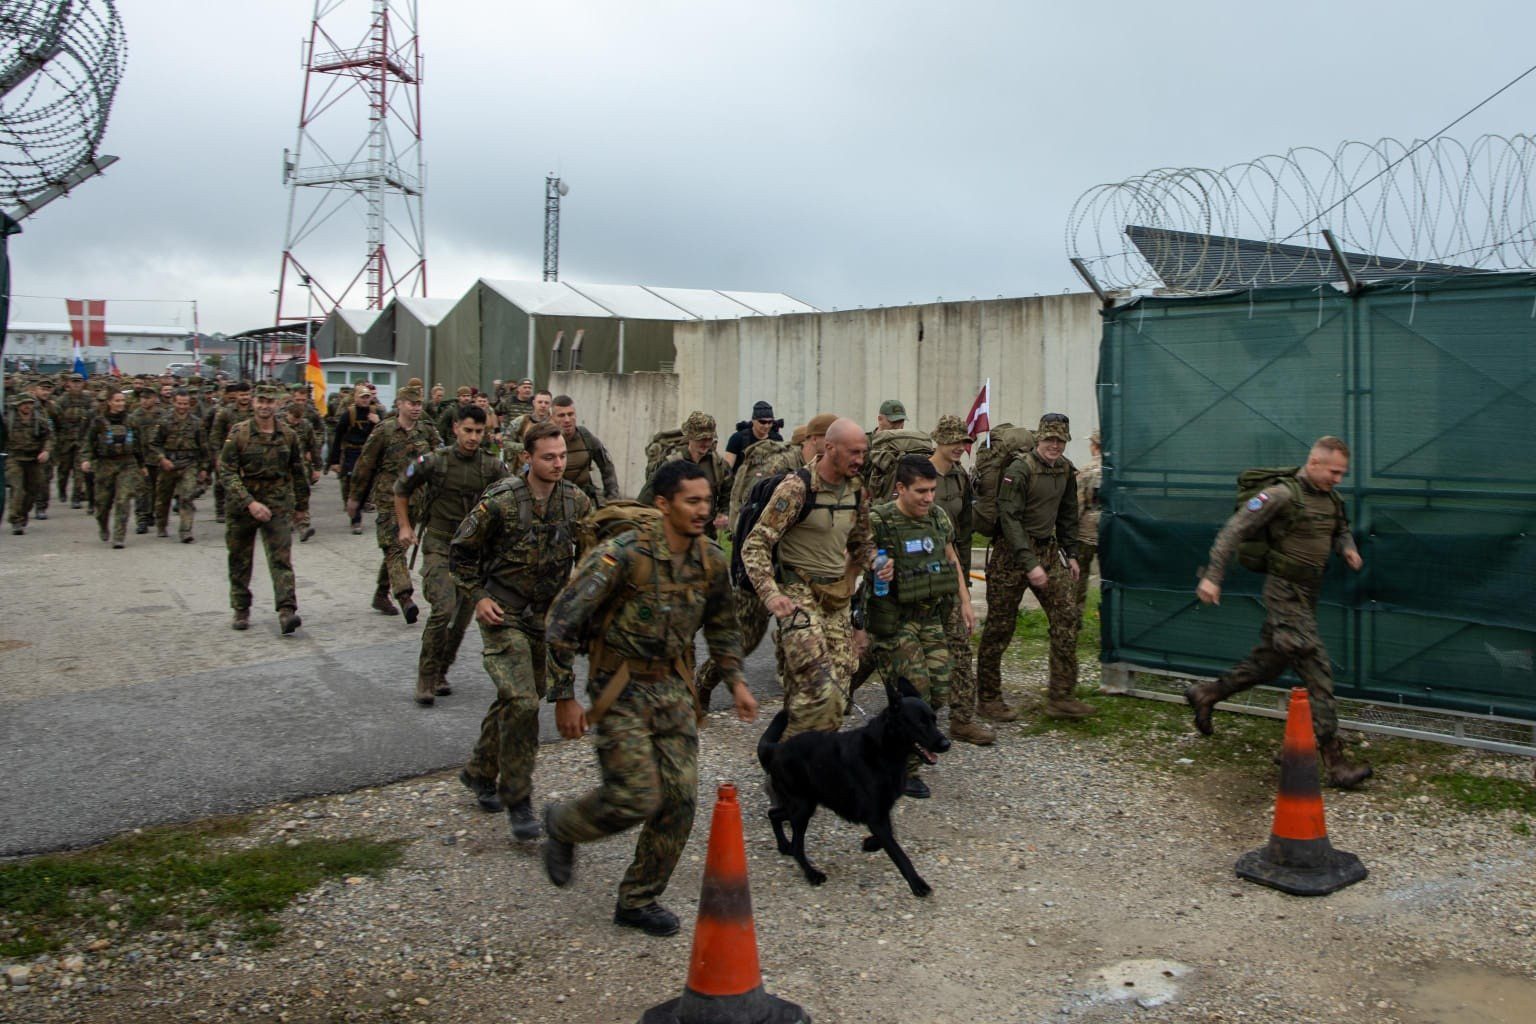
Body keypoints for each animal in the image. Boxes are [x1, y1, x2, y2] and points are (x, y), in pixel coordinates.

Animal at [755, 681, 946, 896]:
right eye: (920, 723)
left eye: (934, 720)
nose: (946, 744)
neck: (883, 750)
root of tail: (775, 749)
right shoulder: (876, 816)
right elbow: (899, 853)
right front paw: (917, 883)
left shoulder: (881, 813)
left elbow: (891, 834)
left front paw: (870, 843)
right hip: (803, 806)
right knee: (796, 845)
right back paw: (812, 873)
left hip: (804, 804)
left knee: (773, 814)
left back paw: (783, 845)